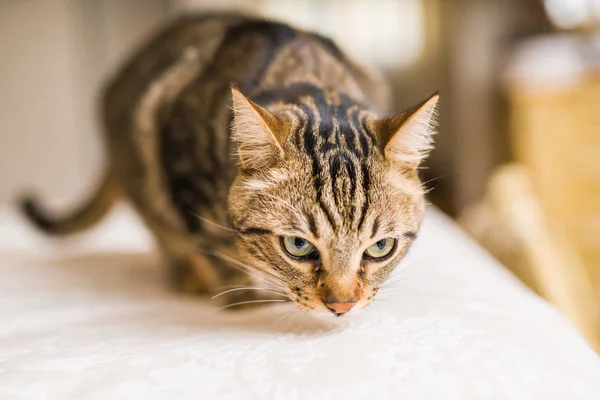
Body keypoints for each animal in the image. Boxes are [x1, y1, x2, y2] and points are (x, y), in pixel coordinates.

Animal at [21, 12, 438, 318]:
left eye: (380, 247)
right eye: (298, 246)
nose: (342, 306)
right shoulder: (180, 170)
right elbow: (214, 248)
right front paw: (245, 300)